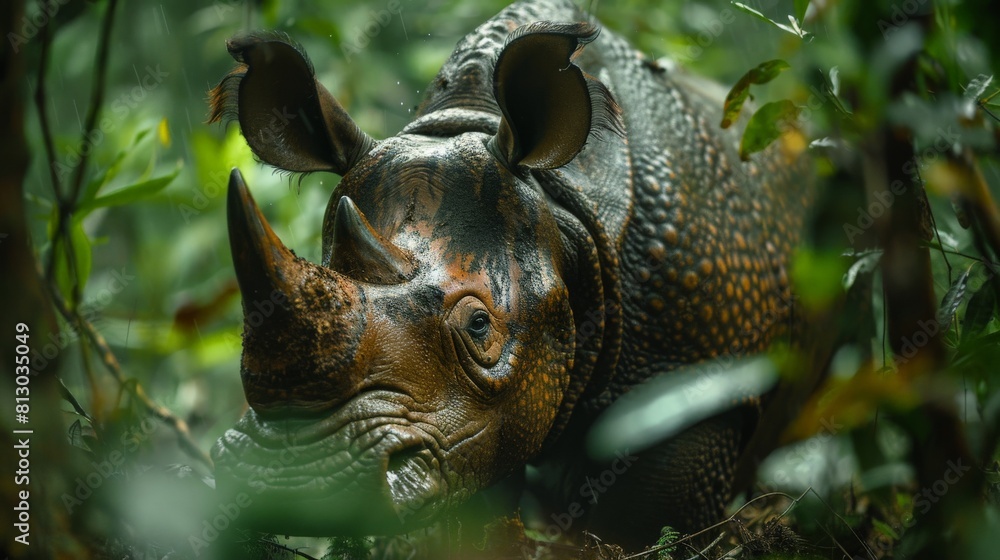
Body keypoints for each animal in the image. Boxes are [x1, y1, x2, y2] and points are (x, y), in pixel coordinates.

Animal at [209, 0, 811, 550]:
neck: (565, 211)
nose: (298, 482)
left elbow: (644, 524)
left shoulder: (698, 376)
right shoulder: (471, 434)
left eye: (479, 326)